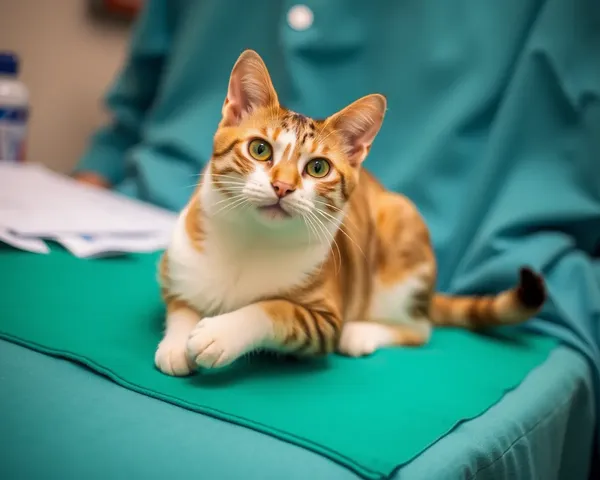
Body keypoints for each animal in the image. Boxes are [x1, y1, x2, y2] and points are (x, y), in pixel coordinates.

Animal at [154, 50, 544, 376]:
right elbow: (180, 302)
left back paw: (362, 334)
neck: (253, 241)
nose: (282, 186)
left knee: (420, 329)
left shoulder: (324, 318)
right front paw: (176, 342)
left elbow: (273, 309)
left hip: (400, 237)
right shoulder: (174, 265)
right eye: (260, 149)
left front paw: (221, 334)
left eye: (318, 168)